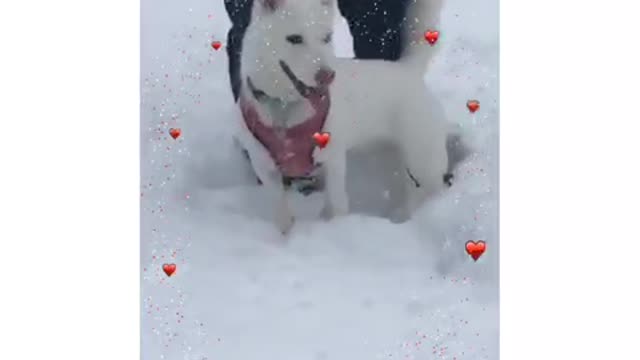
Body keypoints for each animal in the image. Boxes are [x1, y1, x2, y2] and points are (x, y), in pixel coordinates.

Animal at [231, 0, 450, 233]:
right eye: (295, 38)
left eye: (327, 37)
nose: (327, 76)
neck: (284, 108)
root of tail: (408, 69)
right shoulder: (265, 168)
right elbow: (282, 212)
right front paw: (286, 234)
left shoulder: (333, 161)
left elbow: (336, 204)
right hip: (388, 157)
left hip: (424, 160)